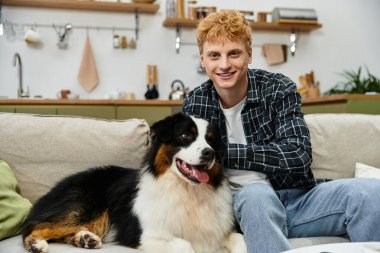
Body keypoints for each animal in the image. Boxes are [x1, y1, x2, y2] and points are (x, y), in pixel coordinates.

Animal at [22, 113, 246, 253]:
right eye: (185, 135)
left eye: (211, 140)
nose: (209, 153)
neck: (187, 190)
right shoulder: (146, 235)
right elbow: (185, 244)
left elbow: (241, 240)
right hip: (85, 205)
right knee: (36, 226)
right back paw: (36, 244)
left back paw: (85, 239)